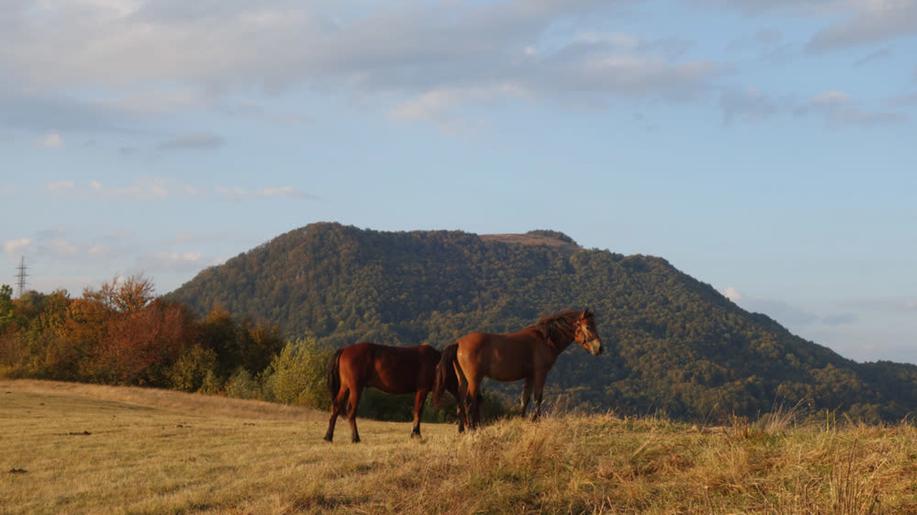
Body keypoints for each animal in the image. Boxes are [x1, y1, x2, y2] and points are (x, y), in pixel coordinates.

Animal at [322, 342, 466, 444]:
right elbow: (418, 411)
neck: (436, 363)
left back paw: (328, 437)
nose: (462, 431)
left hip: (345, 387)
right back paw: (355, 438)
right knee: (351, 411)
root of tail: (344, 350)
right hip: (355, 388)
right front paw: (416, 434)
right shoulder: (422, 390)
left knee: (336, 407)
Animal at [434, 308, 600, 430]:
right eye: (588, 326)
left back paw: (462, 428)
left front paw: (523, 419)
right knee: (469, 401)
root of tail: (458, 343)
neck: (544, 339)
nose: (600, 348)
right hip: (474, 379)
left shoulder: (530, 376)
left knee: (460, 400)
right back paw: (472, 428)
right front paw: (536, 419)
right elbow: (538, 397)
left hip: (463, 379)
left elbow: (524, 399)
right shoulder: (540, 373)